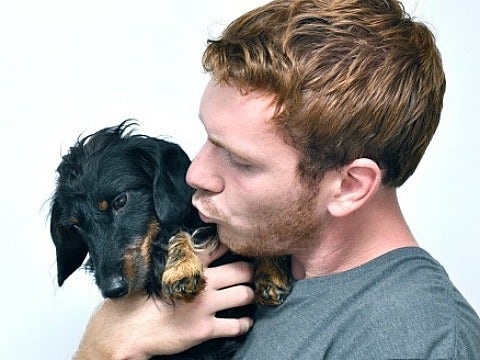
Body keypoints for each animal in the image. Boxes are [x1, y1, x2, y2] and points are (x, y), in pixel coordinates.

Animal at [49, 121, 288, 360]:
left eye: (120, 201)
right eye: (76, 226)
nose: (112, 290)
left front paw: (270, 274)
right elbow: (169, 234)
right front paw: (182, 268)